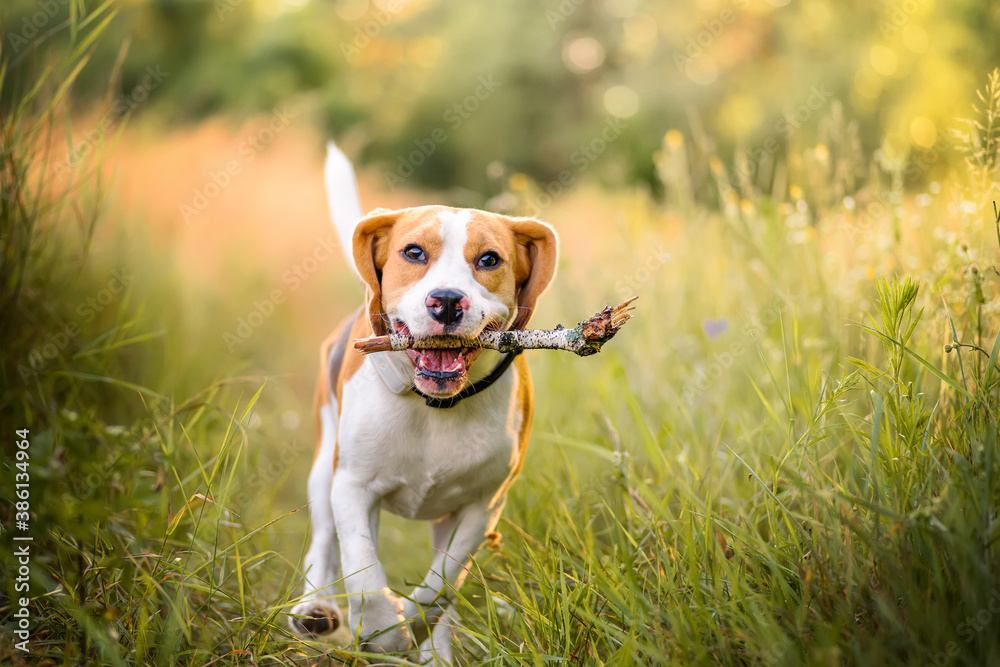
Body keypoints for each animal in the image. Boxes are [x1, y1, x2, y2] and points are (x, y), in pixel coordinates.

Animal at [290, 142, 560, 664]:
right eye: (413, 252)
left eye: (489, 259)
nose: (447, 301)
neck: (434, 408)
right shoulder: (352, 487)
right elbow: (364, 573)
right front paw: (383, 632)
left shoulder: (482, 504)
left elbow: (441, 586)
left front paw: (408, 629)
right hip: (323, 467)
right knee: (324, 541)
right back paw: (314, 608)